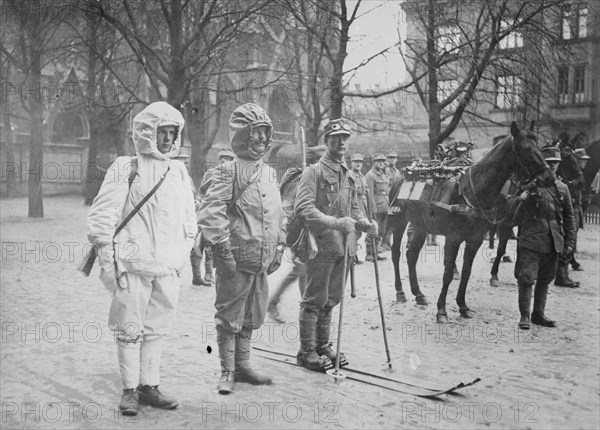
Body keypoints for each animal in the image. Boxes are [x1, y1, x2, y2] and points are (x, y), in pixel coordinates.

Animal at [386, 121, 556, 322]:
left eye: (539, 147)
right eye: (526, 149)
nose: (549, 178)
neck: (472, 190)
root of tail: (402, 175)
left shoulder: (474, 240)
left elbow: (466, 272)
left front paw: (463, 306)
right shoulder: (453, 238)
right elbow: (448, 273)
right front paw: (441, 311)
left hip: (421, 226)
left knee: (411, 255)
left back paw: (418, 294)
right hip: (399, 221)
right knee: (396, 253)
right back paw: (400, 292)